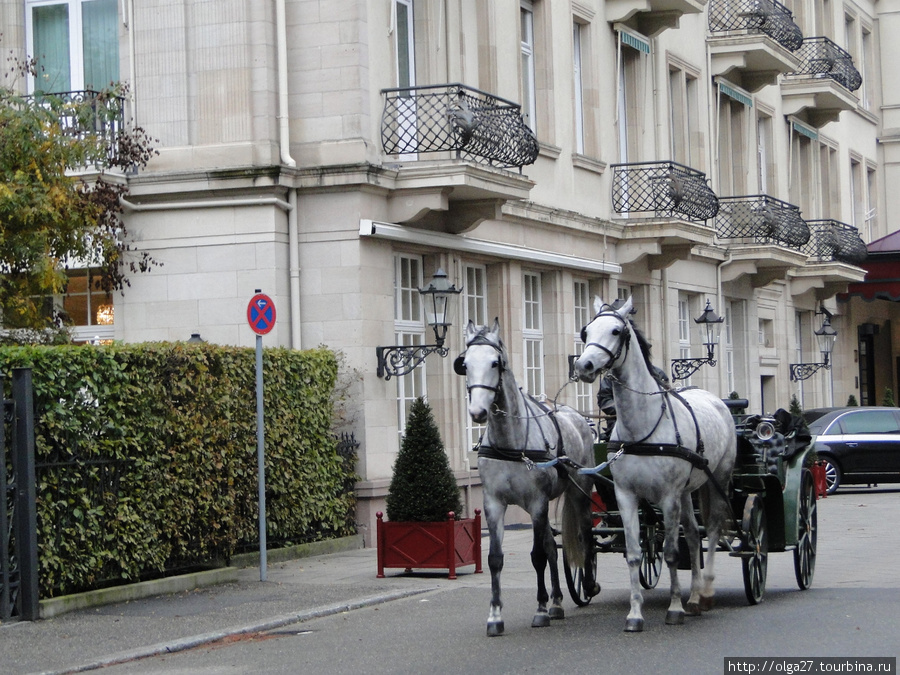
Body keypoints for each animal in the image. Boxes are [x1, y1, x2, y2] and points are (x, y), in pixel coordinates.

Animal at [458, 320, 596, 636]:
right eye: (466, 364)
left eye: (495, 363)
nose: (478, 412)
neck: (510, 442)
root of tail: (577, 416)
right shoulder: (493, 504)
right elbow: (496, 559)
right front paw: (495, 615)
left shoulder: (536, 503)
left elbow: (537, 556)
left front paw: (540, 609)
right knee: (552, 548)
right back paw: (557, 602)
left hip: (578, 492)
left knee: (584, 535)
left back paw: (586, 585)